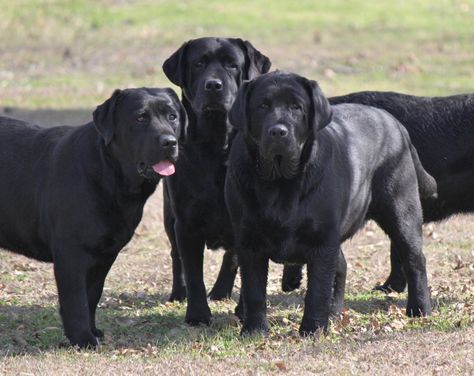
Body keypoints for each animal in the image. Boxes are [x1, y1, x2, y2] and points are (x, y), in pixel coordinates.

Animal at [226, 72, 436, 336]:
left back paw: (419, 309)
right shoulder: (249, 241)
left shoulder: (322, 239)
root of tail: (396, 124)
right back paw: (335, 313)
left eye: (297, 107)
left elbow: (317, 290)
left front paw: (312, 330)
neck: (280, 182)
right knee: (342, 266)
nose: (278, 132)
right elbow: (254, 290)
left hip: (401, 210)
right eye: (262, 106)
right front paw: (254, 330)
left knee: (415, 259)